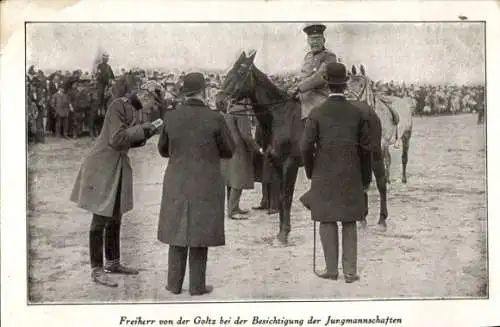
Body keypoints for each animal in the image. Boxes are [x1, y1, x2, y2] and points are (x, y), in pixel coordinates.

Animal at [217, 50, 388, 246]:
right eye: (230, 71)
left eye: (241, 72)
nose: (219, 101)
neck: (280, 116)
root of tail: (368, 109)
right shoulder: (276, 164)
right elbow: (281, 197)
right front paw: (280, 233)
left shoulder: (289, 163)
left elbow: (286, 197)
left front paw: (284, 234)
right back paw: (362, 219)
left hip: (374, 153)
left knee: (381, 182)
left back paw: (382, 221)